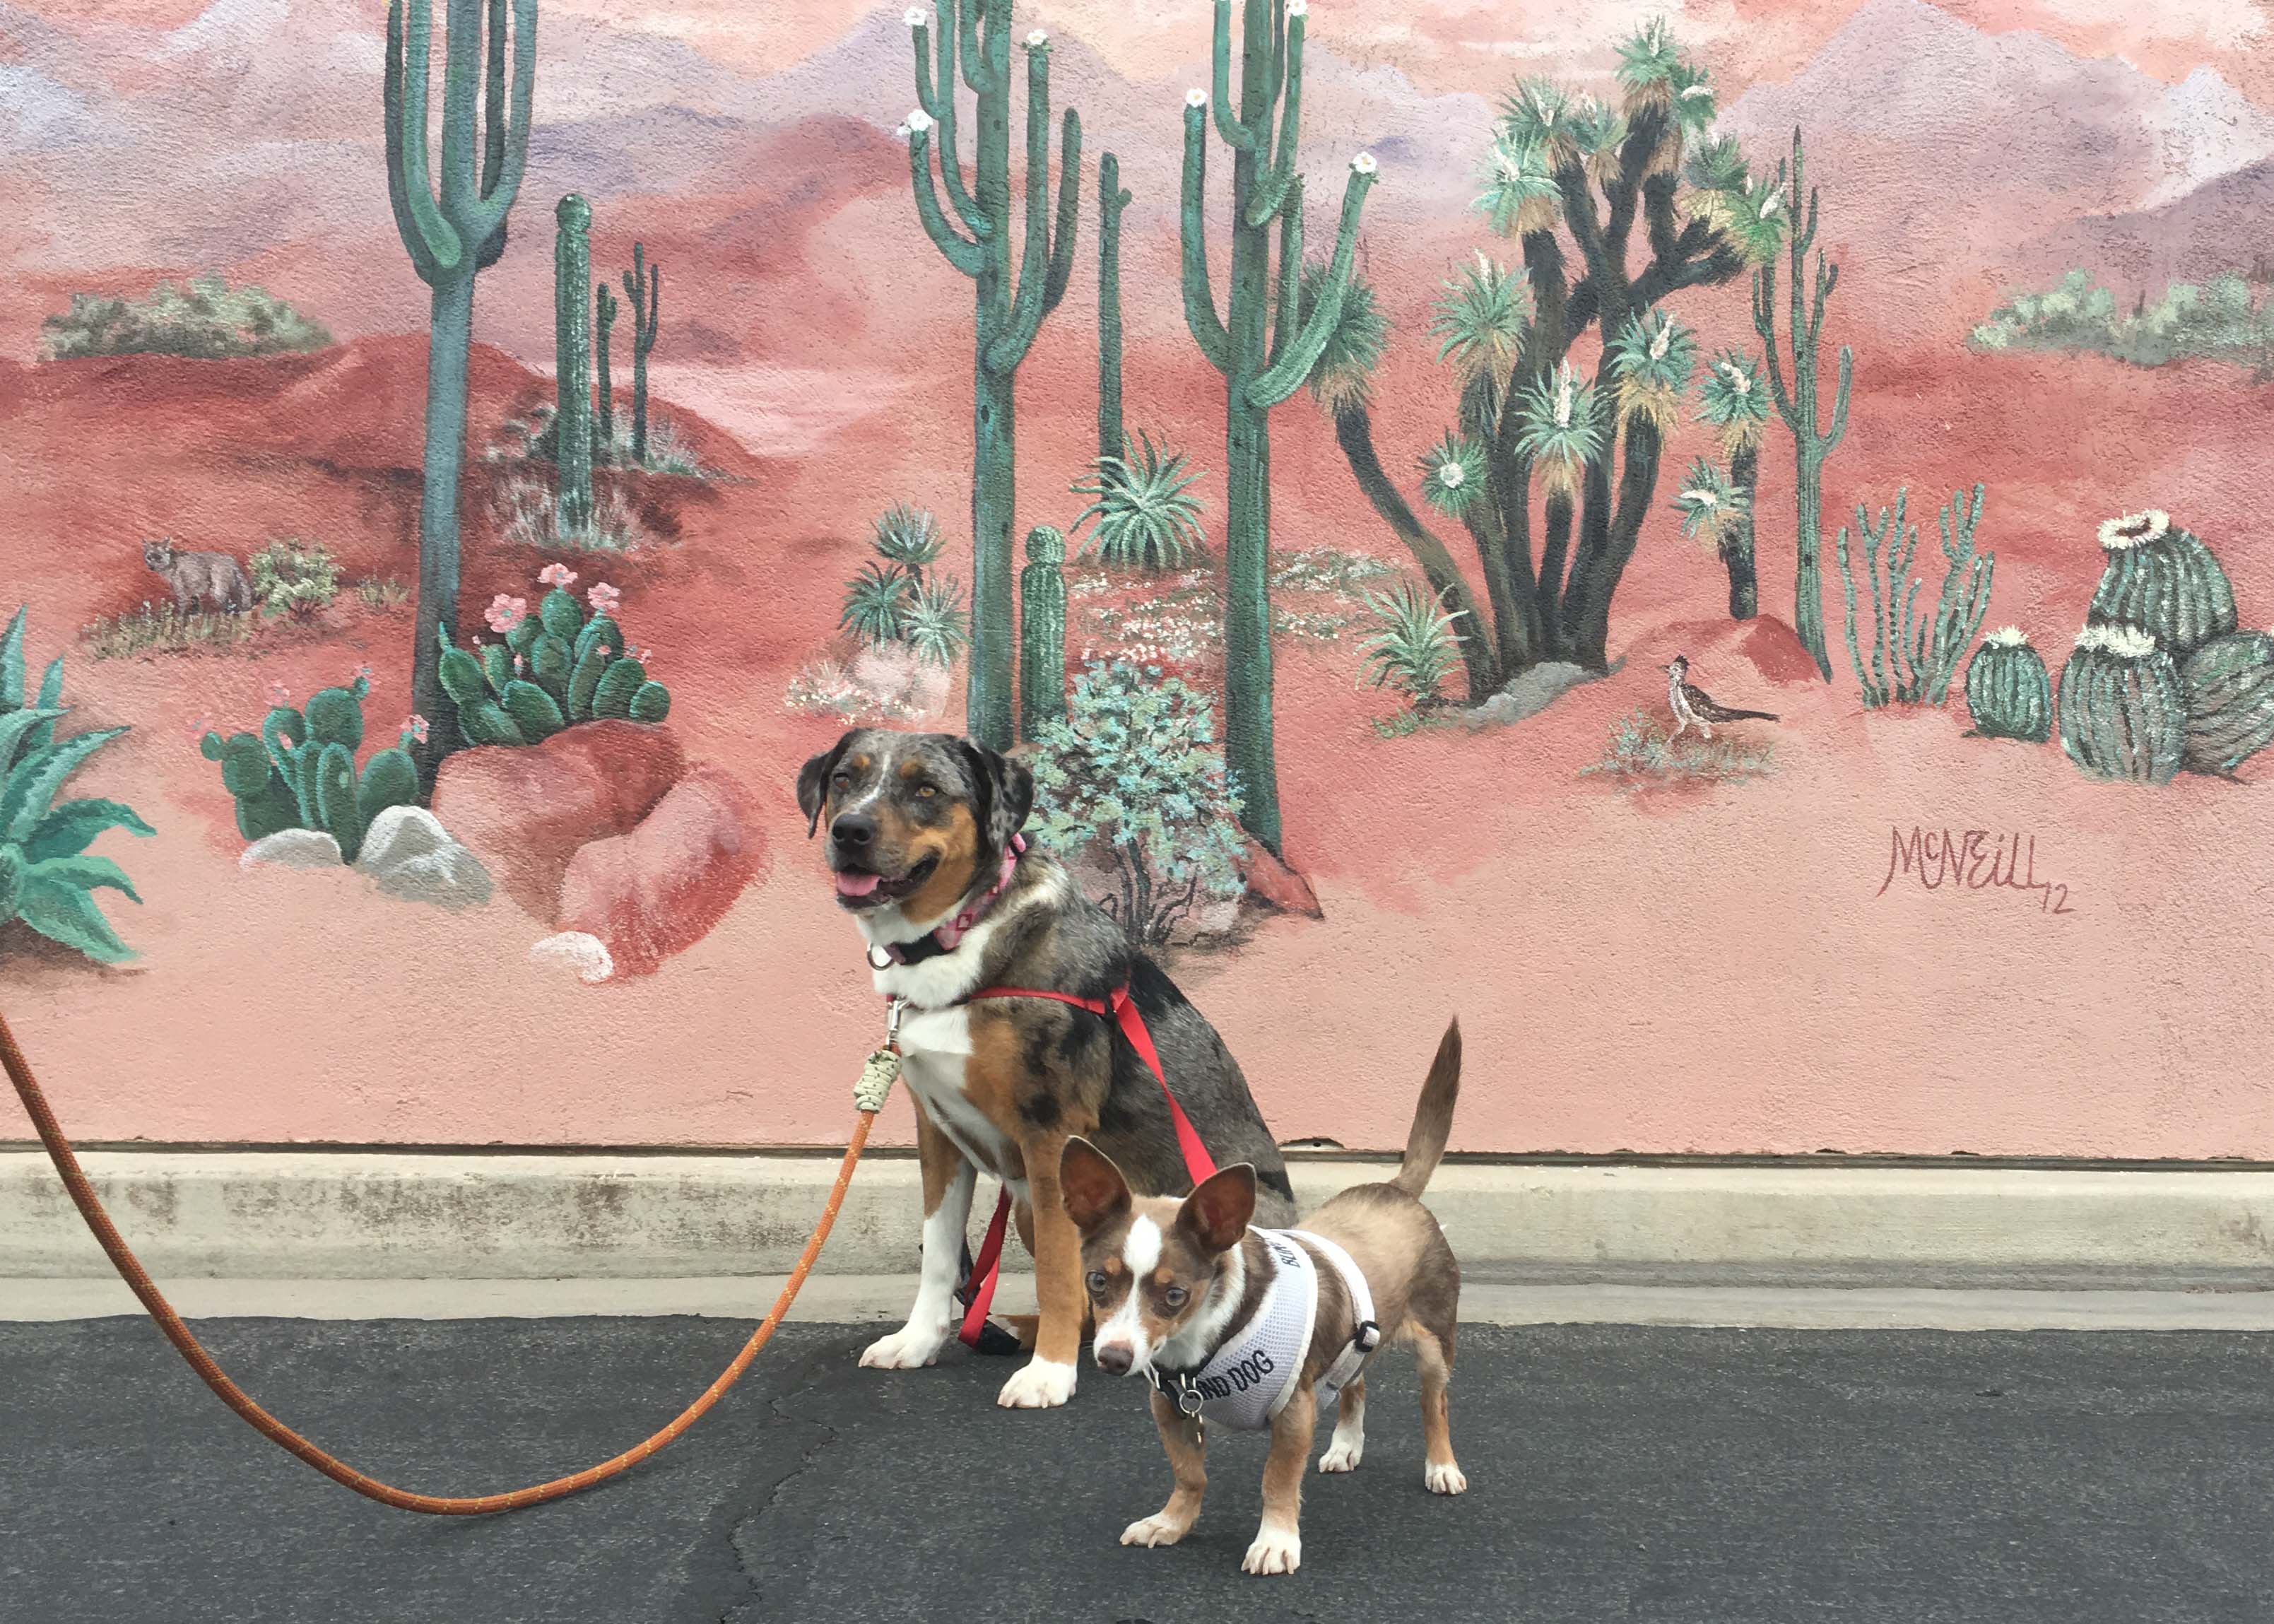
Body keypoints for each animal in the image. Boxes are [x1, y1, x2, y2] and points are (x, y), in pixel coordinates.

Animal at [800, 727, 1300, 1410]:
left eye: (925, 788)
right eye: (845, 779)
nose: (849, 830)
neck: (961, 936)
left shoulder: (1049, 1133)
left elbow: (1061, 1277)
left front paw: (1049, 1375)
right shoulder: (938, 1134)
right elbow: (939, 1258)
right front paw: (918, 1342)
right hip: (1029, 1208)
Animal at [1055, 1023, 1464, 1565]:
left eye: (1175, 1295)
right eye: (1097, 1282)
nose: (1113, 1359)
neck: (1198, 1353)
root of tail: (1396, 1188)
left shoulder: (1294, 1414)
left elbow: (1277, 1480)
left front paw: (1275, 1541)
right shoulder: (1169, 1409)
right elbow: (1189, 1473)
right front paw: (1172, 1522)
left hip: (1435, 1346)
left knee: (1434, 1405)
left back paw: (1442, 1466)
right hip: (1359, 1336)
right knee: (1355, 1385)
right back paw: (1345, 1445)